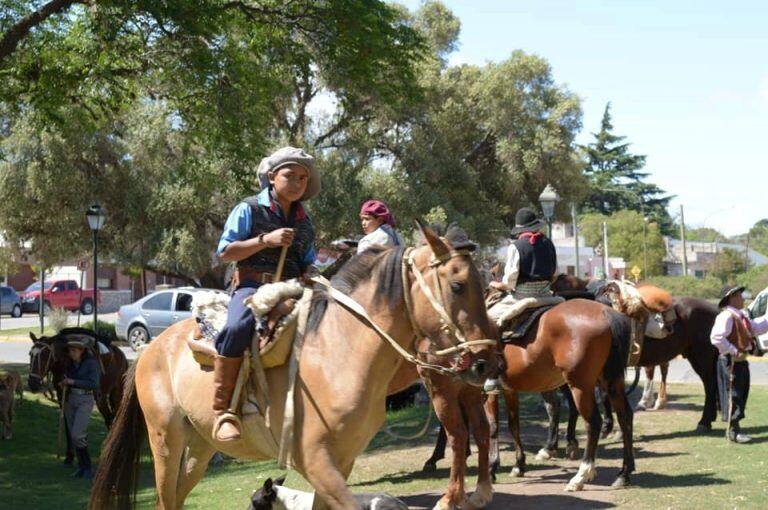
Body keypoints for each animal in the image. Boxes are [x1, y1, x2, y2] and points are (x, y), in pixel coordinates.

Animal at [91, 226, 498, 510]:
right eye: (458, 285)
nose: (485, 362)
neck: (338, 352)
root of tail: (149, 350)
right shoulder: (315, 459)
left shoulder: (341, 461)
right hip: (166, 442)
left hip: (199, 448)